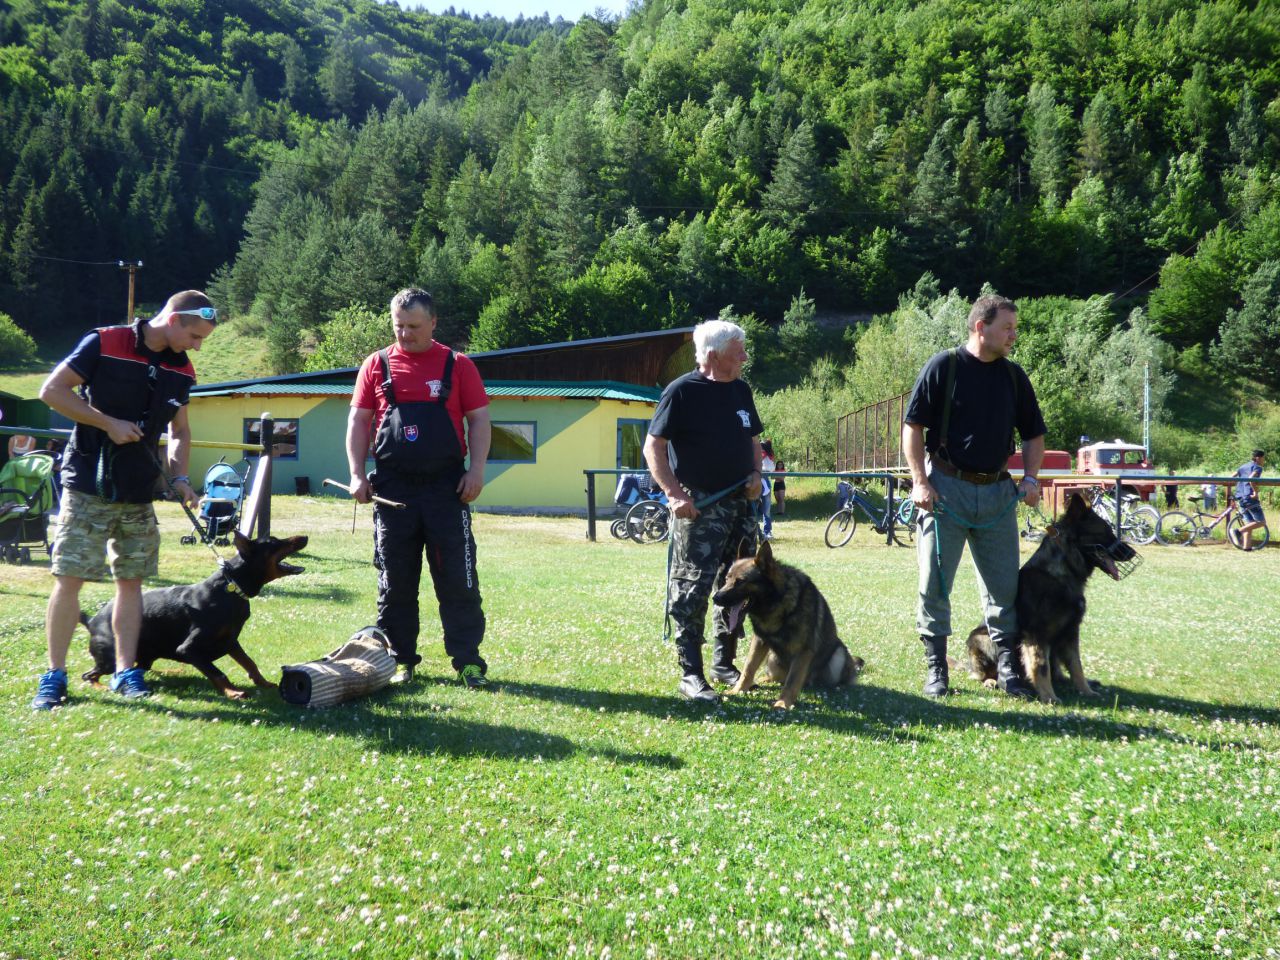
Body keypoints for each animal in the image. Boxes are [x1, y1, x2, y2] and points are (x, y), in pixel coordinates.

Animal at [81, 531, 308, 699]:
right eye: (274, 542)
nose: (305, 537)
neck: (232, 588)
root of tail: (91, 621)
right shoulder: (188, 649)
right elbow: (217, 672)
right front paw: (232, 692)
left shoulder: (230, 641)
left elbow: (249, 661)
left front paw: (263, 682)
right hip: (111, 656)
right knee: (89, 675)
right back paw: (103, 688)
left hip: (145, 656)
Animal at [713, 540, 864, 709]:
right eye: (727, 579)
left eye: (740, 582)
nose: (715, 598)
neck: (777, 601)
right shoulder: (759, 641)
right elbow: (748, 668)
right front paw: (737, 690)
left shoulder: (803, 651)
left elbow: (792, 681)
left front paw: (783, 703)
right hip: (772, 658)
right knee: (778, 677)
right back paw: (761, 680)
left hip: (838, 655)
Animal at [966, 493, 1138, 704]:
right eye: (1105, 533)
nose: (1132, 552)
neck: (1061, 574)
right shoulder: (1037, 635)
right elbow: (1040, 666)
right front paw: (1049, 696)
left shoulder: (1071, 631)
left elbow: (1076, 665)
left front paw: (1086, 691)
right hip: (982, 638)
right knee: (985, 673)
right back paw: (992, 681)